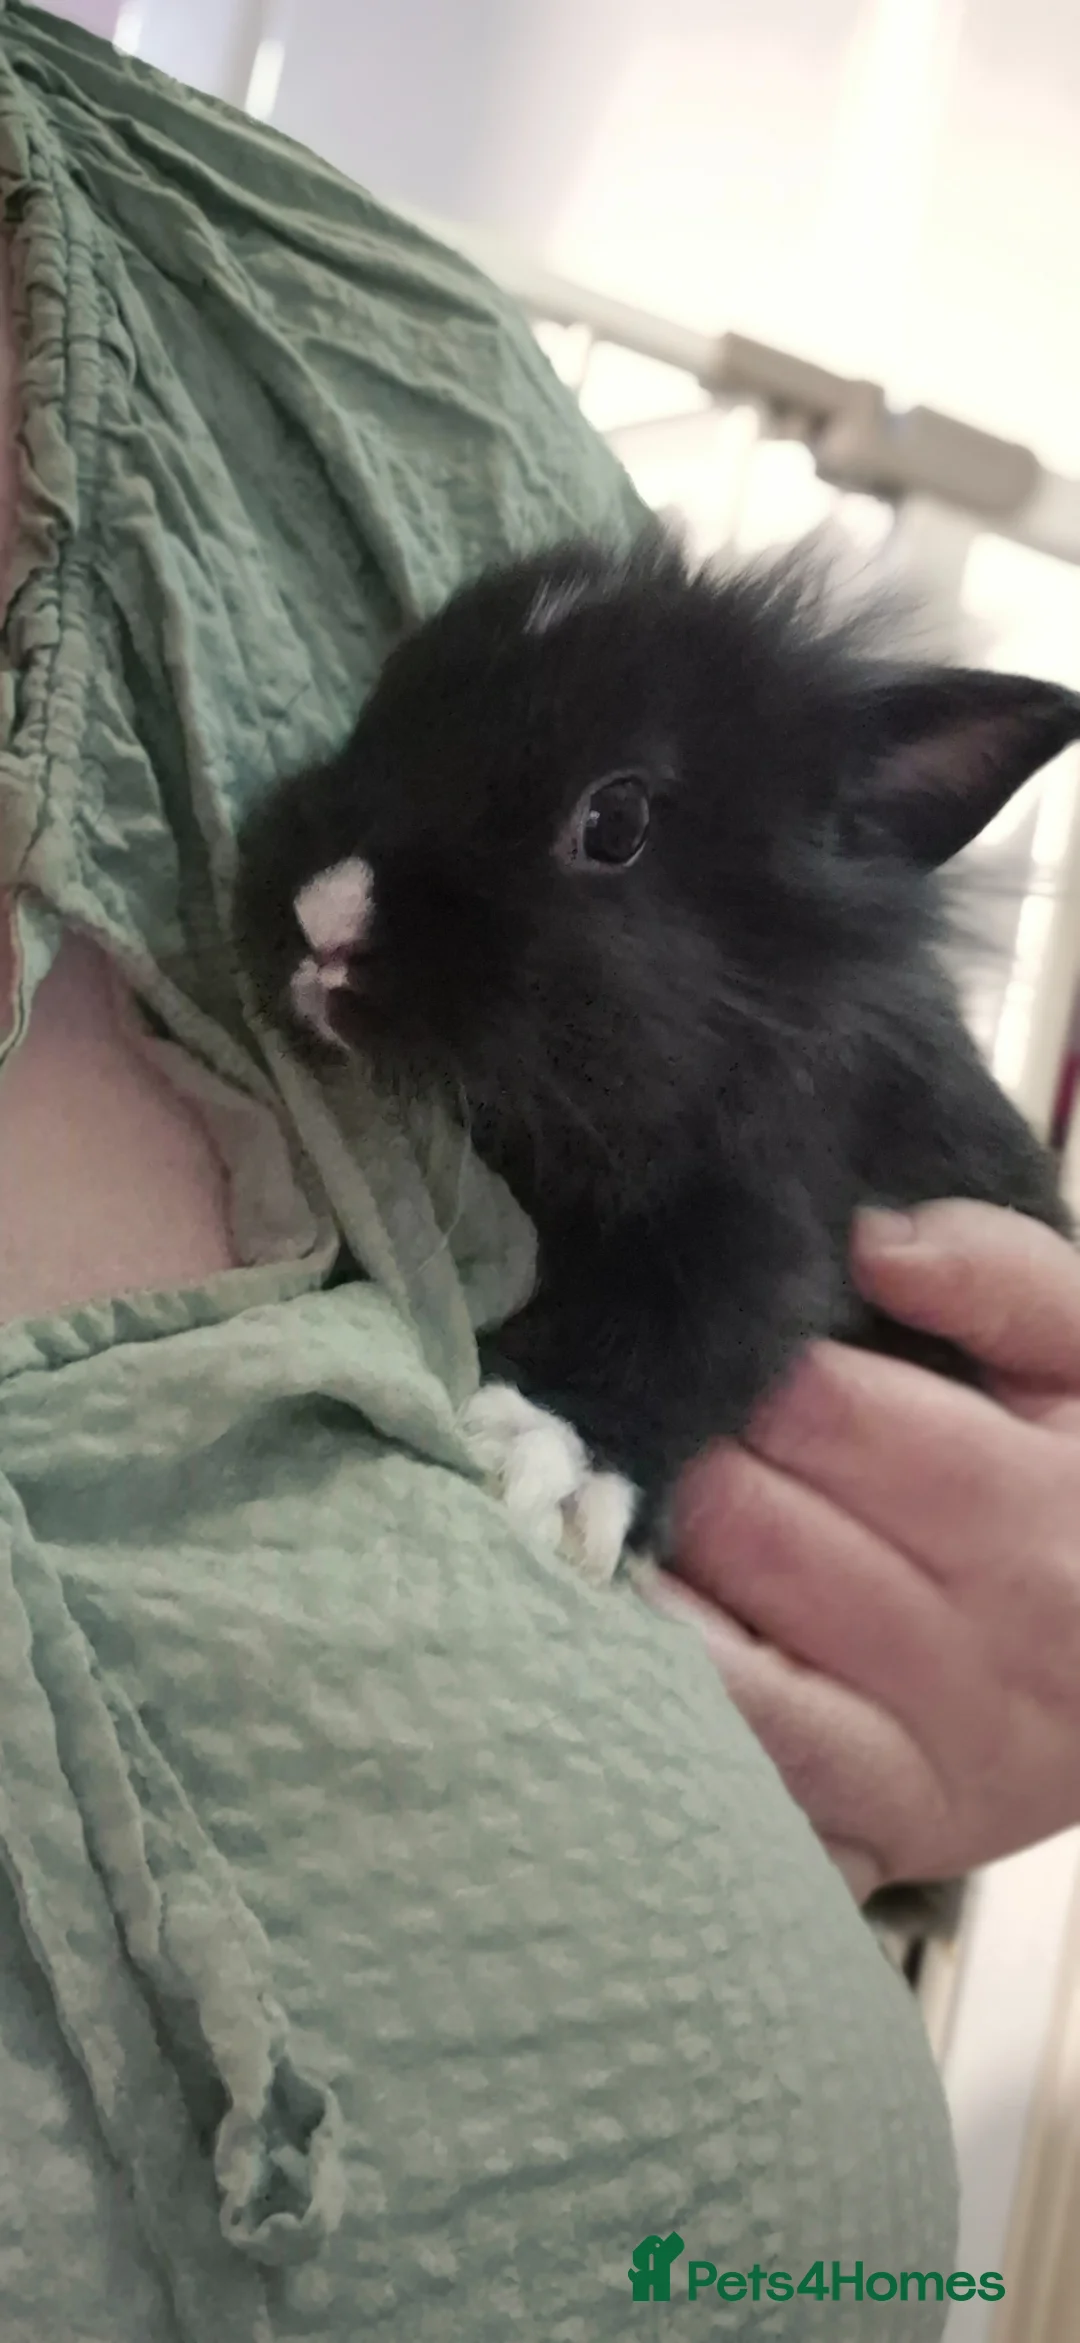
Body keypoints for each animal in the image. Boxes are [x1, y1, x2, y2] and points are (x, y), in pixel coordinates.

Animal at [233, 532, 1080, 1557]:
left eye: (615, 821)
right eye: (384, 700)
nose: (324, 915)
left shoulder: (764, 1239)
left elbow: (682, 1341)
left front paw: (544, 1456)